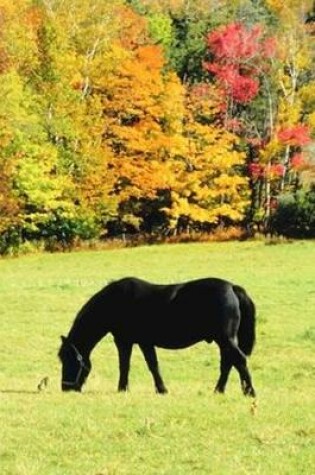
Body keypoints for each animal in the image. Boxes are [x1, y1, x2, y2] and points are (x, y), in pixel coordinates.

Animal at [58, 276, 258, 398]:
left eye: (69, 360)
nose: (65, 388)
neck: (115, 301)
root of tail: (232, 288)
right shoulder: (135, 342)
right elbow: (139, 365)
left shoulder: (132, 341)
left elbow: (141, 365)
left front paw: (131, 389)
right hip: (224, 340)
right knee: (228, 363)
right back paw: (219, 390)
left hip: (225, 338)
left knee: (239, 360)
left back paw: (249, 392)